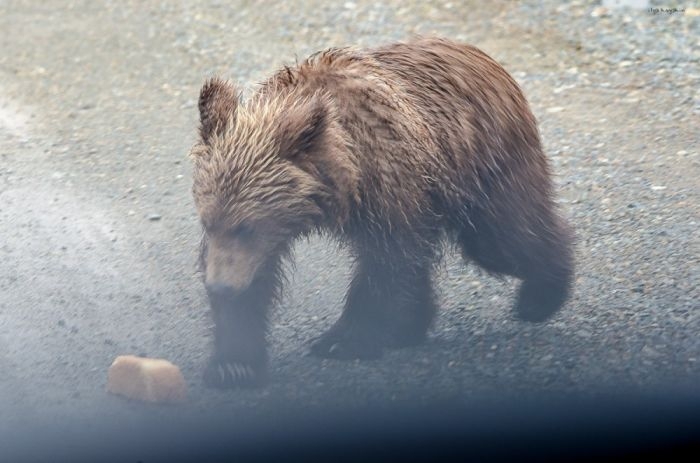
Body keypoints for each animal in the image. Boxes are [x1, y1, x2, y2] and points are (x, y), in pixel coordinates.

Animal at [190, 38, 576, 390]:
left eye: (247, 227)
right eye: (211, 223)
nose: (221, 286)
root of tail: (485, 57)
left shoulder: (387, 182)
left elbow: (385, 262)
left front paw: (344, 339)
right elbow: (258, 276)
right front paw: (233, 363)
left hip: (485, 165)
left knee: (502, 239)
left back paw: (541, 295)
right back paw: (411, 326)